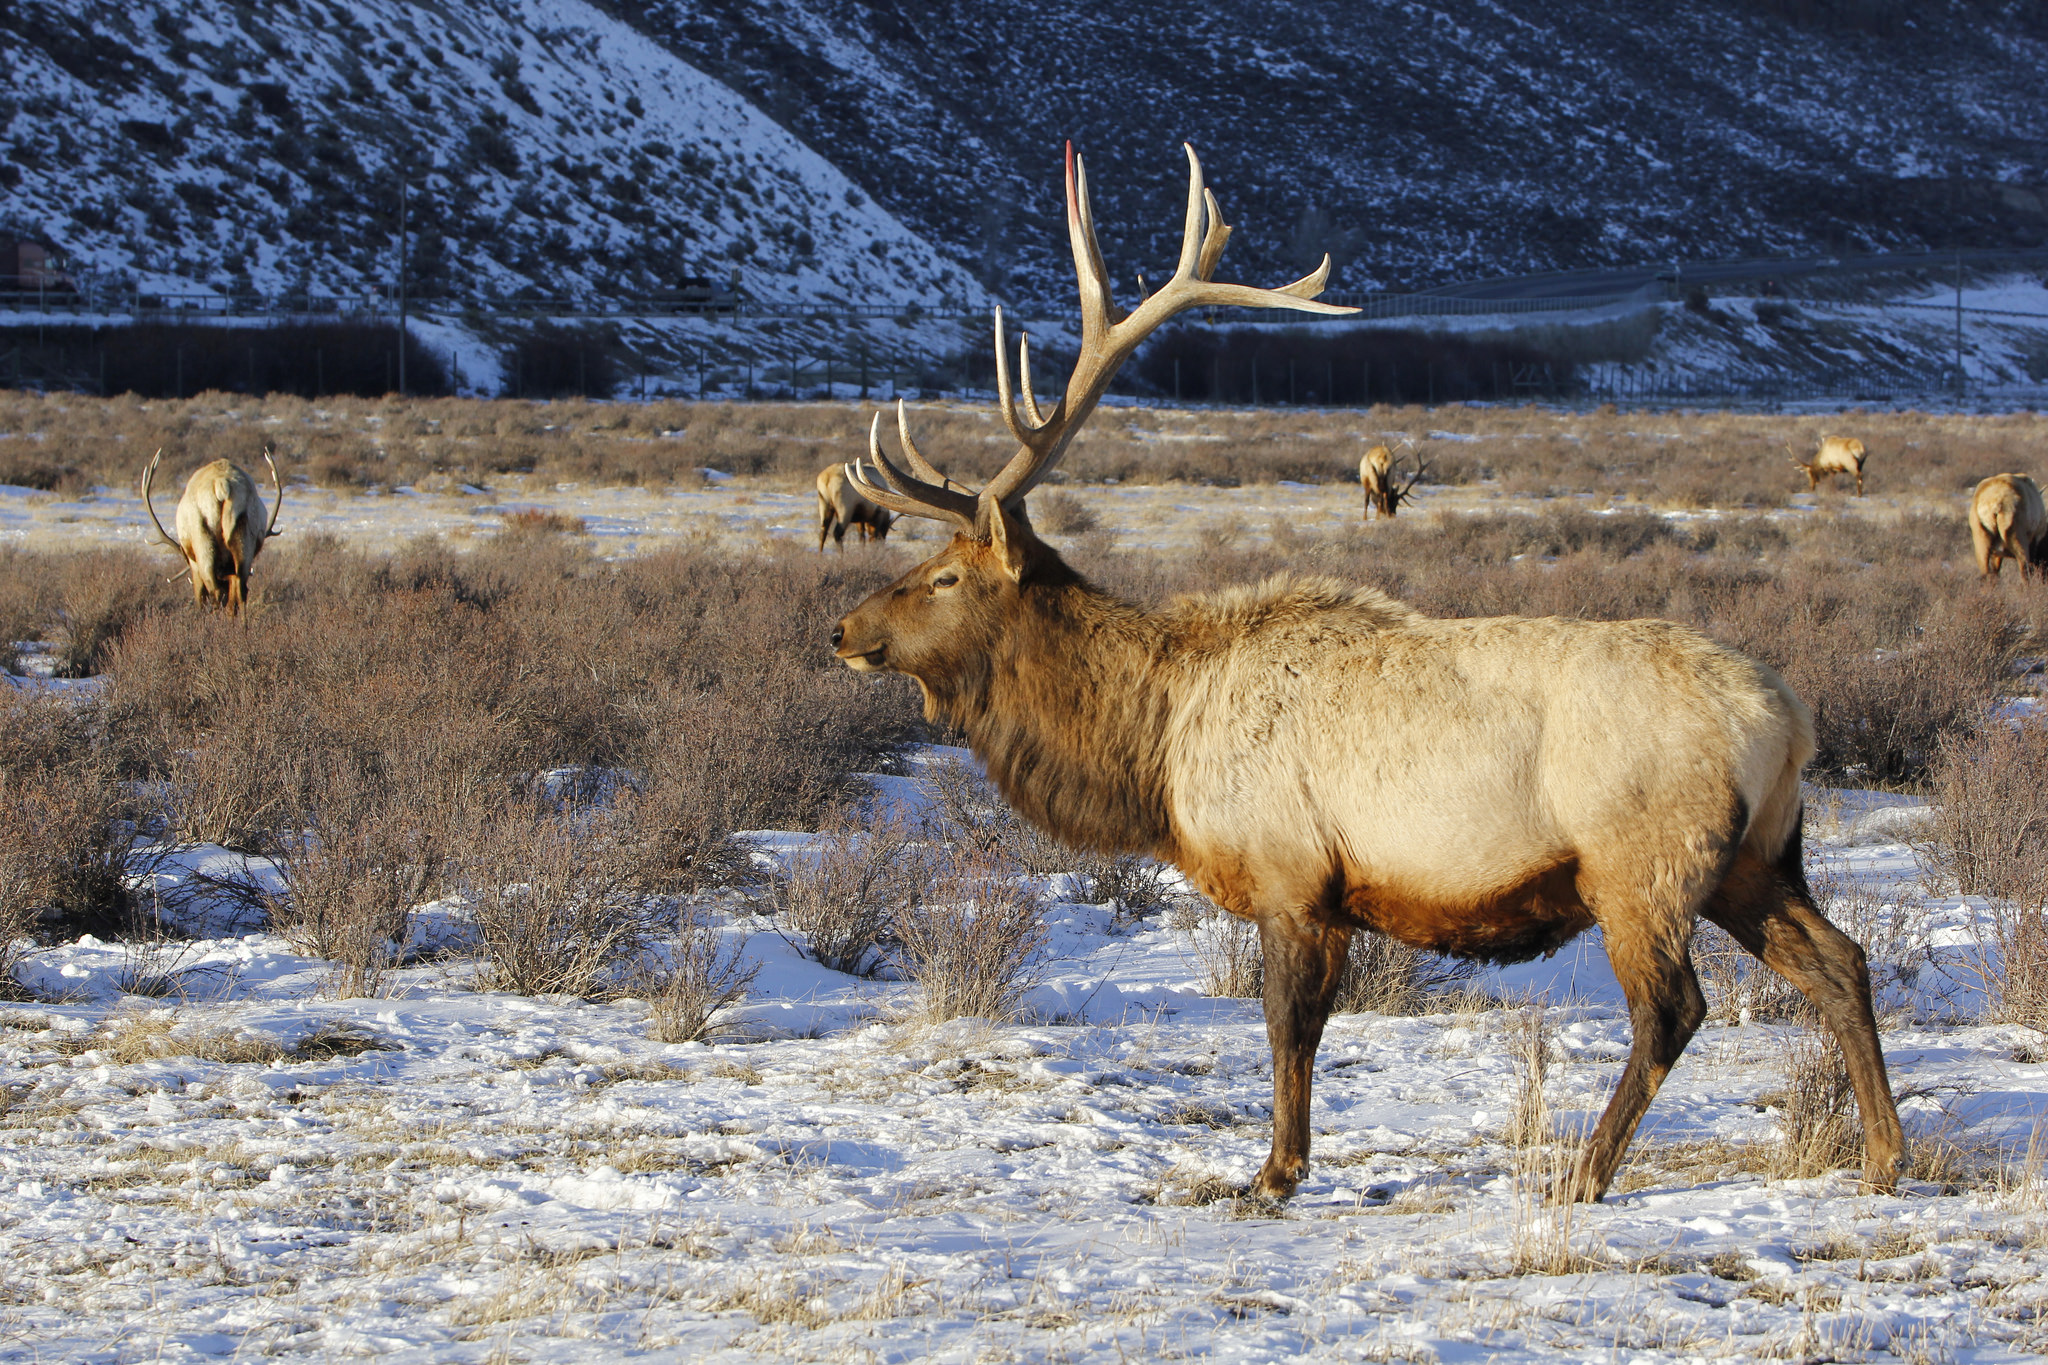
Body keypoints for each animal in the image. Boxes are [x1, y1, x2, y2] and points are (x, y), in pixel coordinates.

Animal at [140, 446, 284, 618]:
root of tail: (222, 484)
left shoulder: (194, 563)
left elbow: (200, 595)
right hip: (244, 534)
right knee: (241, 592)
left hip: (202, 537)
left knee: (215, 592)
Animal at [819, 144, 1900, 1203]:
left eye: (944, 576)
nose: (841, 629)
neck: (1156, 749)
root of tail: (1790, 721)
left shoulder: (1291, 871)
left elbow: (1287, 1027)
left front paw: (1272, 1173)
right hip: (1755, 856)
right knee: (1840, 960)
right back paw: (1883, 1155)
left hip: (1641, 860)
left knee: (1674, 1006)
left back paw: (1585, 1172)